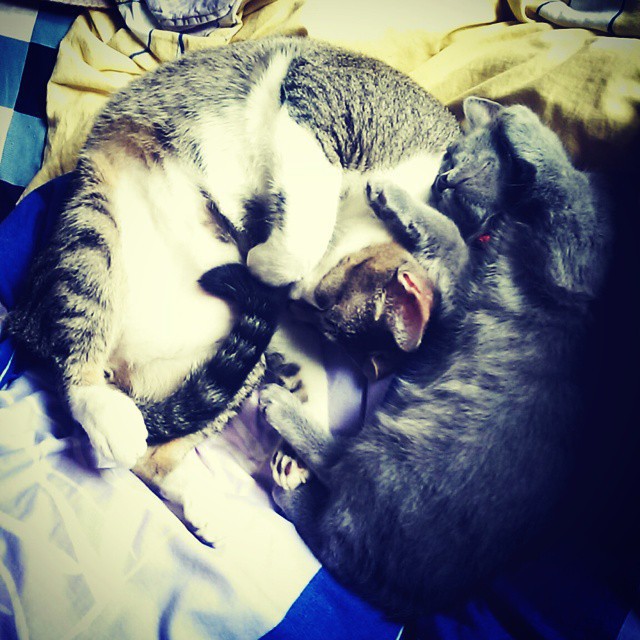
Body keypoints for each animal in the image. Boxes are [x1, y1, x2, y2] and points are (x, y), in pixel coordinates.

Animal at [5, 36, 456, 481]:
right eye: (323, 299)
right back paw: (105, 413)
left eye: (318, 310)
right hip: (92, 225)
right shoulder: (317, 102)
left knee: (156, 462)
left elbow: (310, 368)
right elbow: (301, 241)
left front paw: (298, 447)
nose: (291, 299)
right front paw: (262, 258)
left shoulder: (280, 325)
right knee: (75, 350)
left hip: (241, 367)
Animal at [259, 96, 611, 618]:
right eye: (446, 161)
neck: (504, 222)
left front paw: (521, 122)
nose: (443, 178)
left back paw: (280, 418)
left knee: (335, 475)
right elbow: (452, 229)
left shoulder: (564, 252)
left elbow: (558, 182)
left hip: (388, 458)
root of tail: (404, 597)